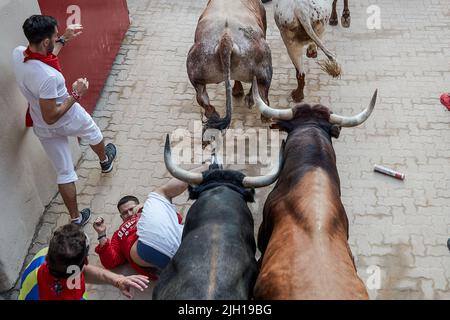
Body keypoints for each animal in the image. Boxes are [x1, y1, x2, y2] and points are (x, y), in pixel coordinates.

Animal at [185, 0, 272, 130]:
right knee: (264, 97)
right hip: (265, 69)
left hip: (195, 71)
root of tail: (226, 40)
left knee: (202, 97)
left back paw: (214, 115)